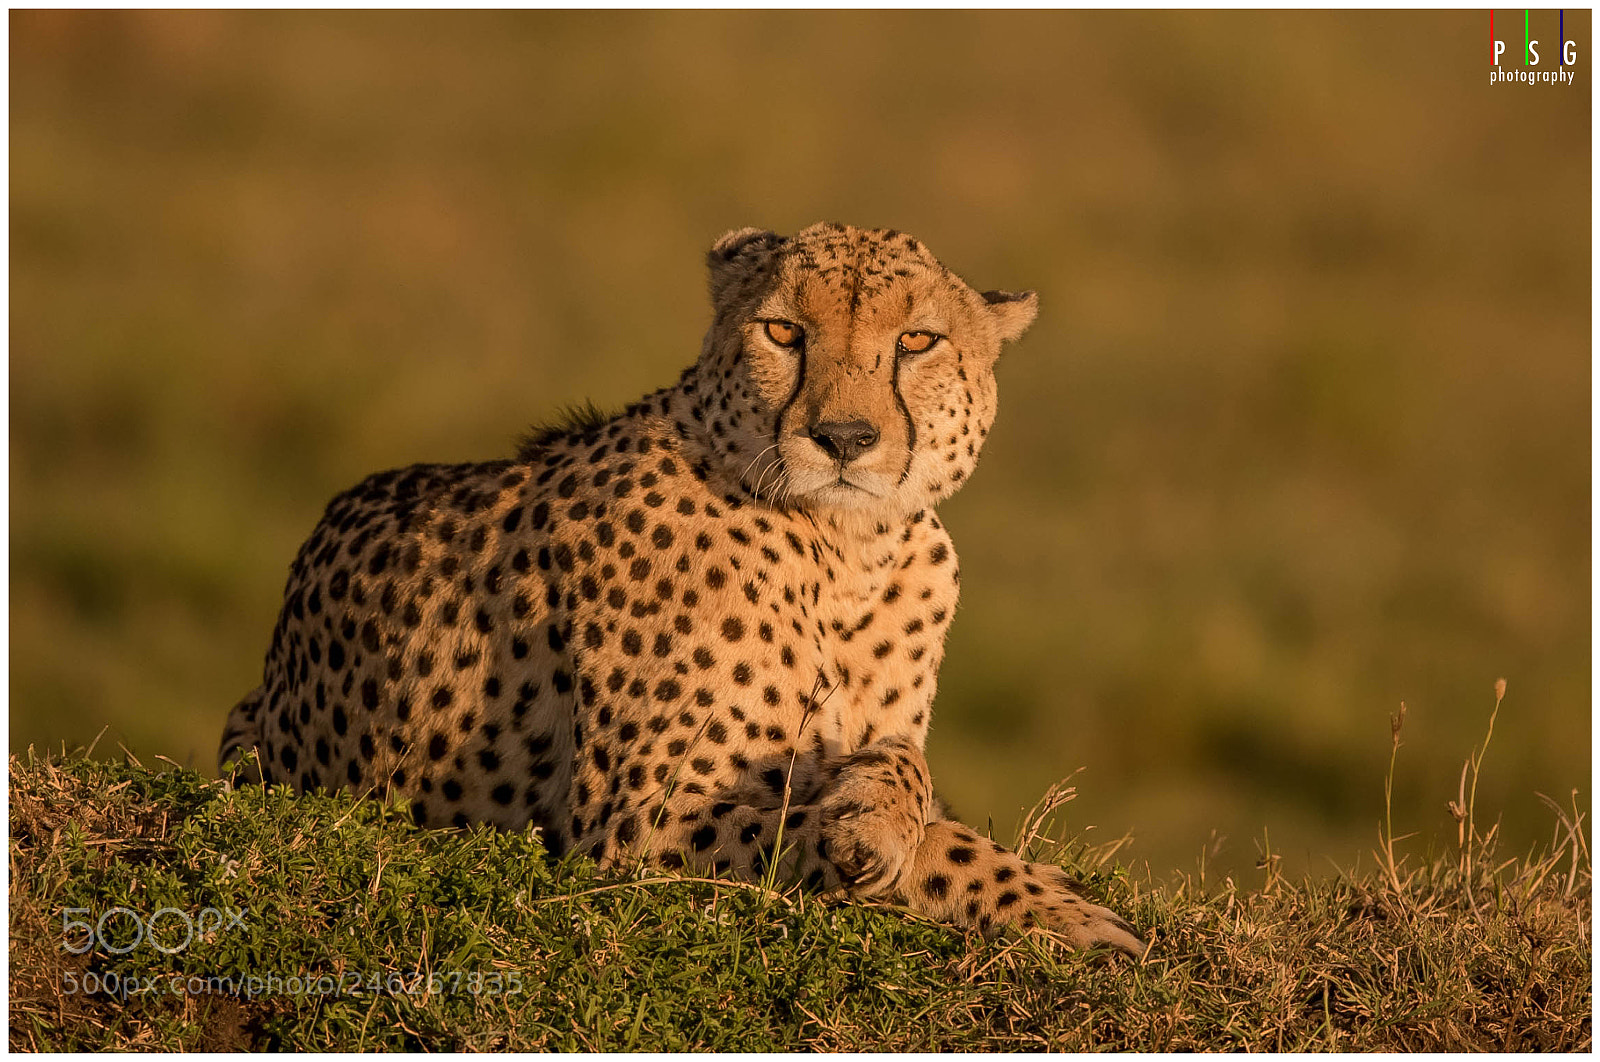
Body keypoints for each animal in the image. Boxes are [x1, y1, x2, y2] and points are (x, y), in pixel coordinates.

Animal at [219, 221, 1143, 956]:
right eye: (783, 331)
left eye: (917, 342)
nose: (844, 437)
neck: (847, 552)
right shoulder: (640, 820)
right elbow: (924, 843)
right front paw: (1064, 912)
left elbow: (909, 769)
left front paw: (890, 818)